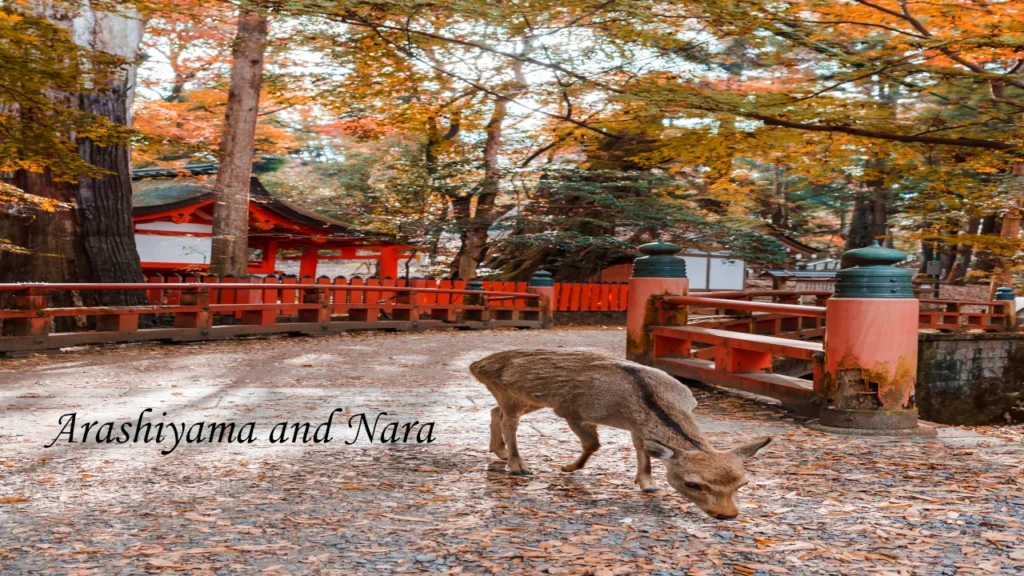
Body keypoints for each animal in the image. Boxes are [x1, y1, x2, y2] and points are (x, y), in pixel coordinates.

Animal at [470, 349, 772, 520]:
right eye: (692, 484)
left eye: (743, 483)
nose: (728, 515)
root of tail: (476, 365)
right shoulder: (572, 411)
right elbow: (594, 444)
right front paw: (568, 467)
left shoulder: (636, 427)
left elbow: (641, 448)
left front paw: (647, 482)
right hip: (508, 391)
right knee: (509, 422)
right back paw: (517, 464)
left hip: (530, 398)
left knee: (495, 411)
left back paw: (499, 451)